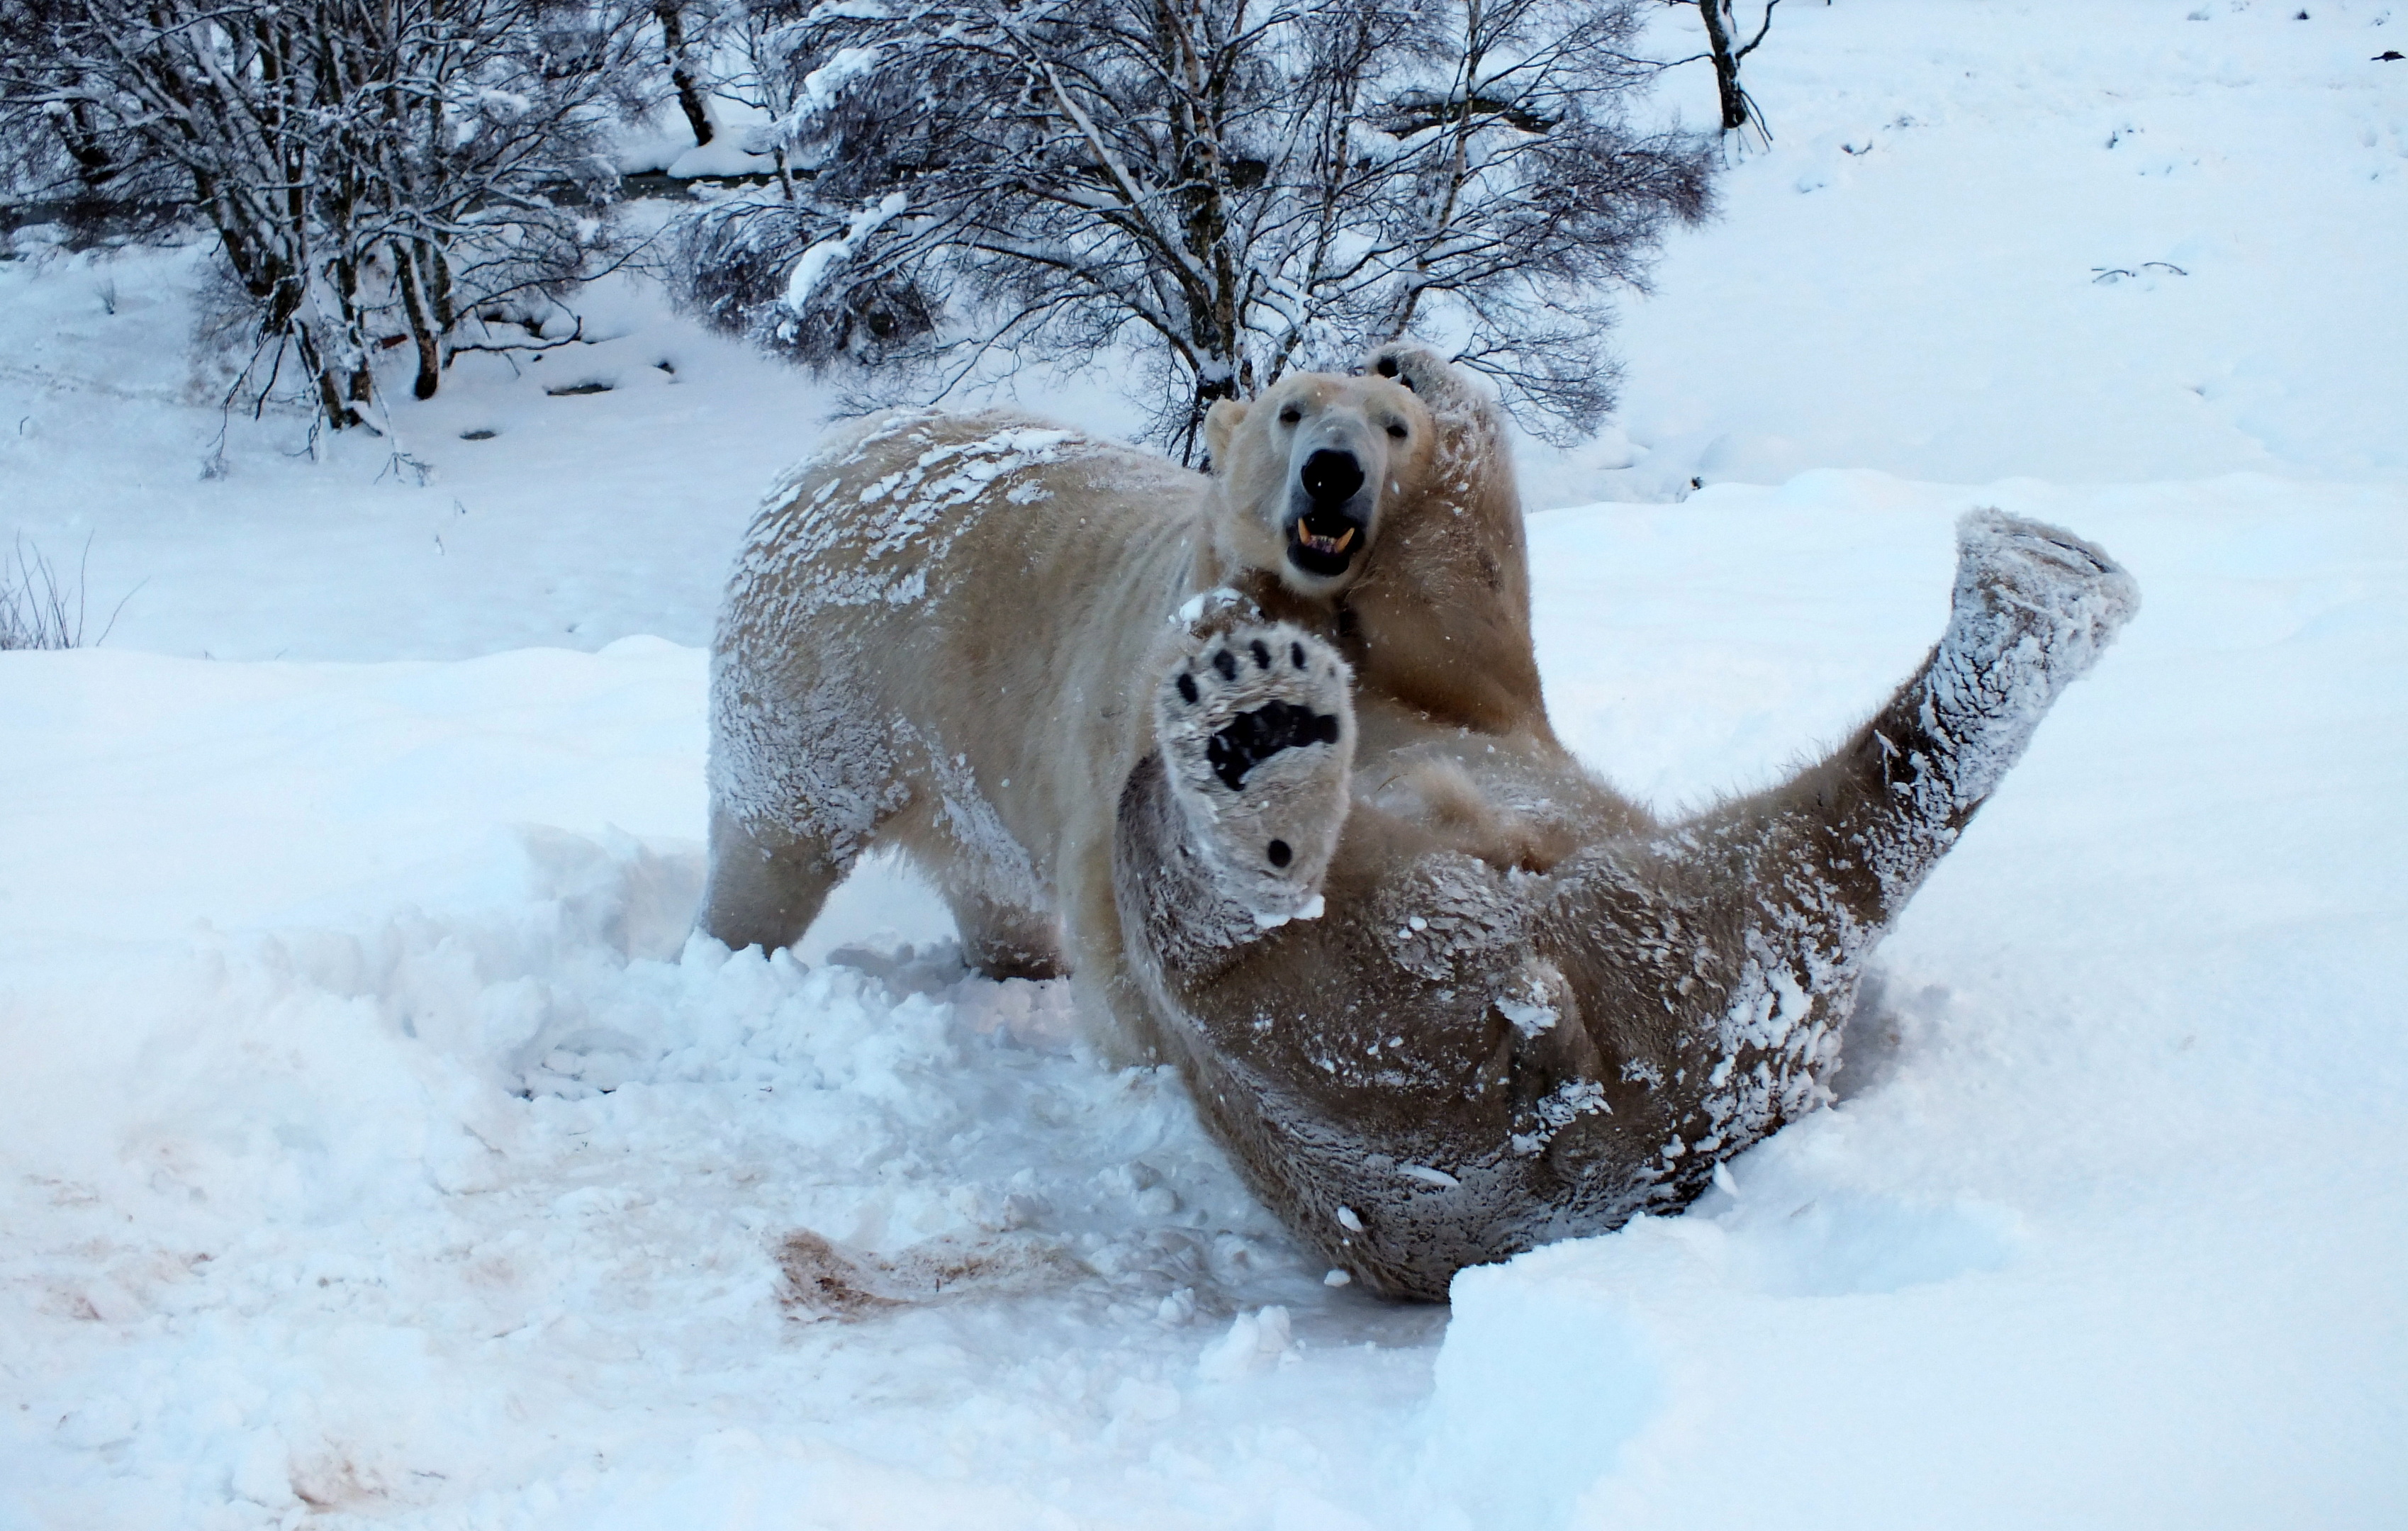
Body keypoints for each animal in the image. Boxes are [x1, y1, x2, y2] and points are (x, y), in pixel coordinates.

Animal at [702, 349, 2138, 1299]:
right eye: (1293, 408)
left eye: (1380, 423)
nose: (1337, 463)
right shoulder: (1146, 663)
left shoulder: (1463, 686)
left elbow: (1460, 605)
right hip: (823, 680)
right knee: (799, 850)